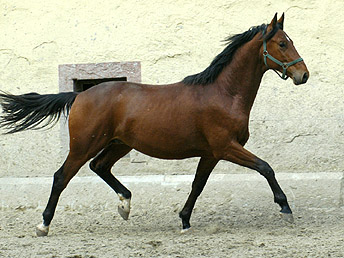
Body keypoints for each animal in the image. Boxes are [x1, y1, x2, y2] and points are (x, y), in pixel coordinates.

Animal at [0, 13, 310, 236]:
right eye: (282, 43)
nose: (303, 75)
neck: (223, 93)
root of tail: (79, 95)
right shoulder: (226, 147)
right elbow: (265, 167)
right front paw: (285, 209)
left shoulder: (211, 153)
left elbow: (198, 184)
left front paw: (184, 221)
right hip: (84, 145)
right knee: (61, 177)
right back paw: (43, 225)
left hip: (119, 144)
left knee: (99, 166)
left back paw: (125, 204)